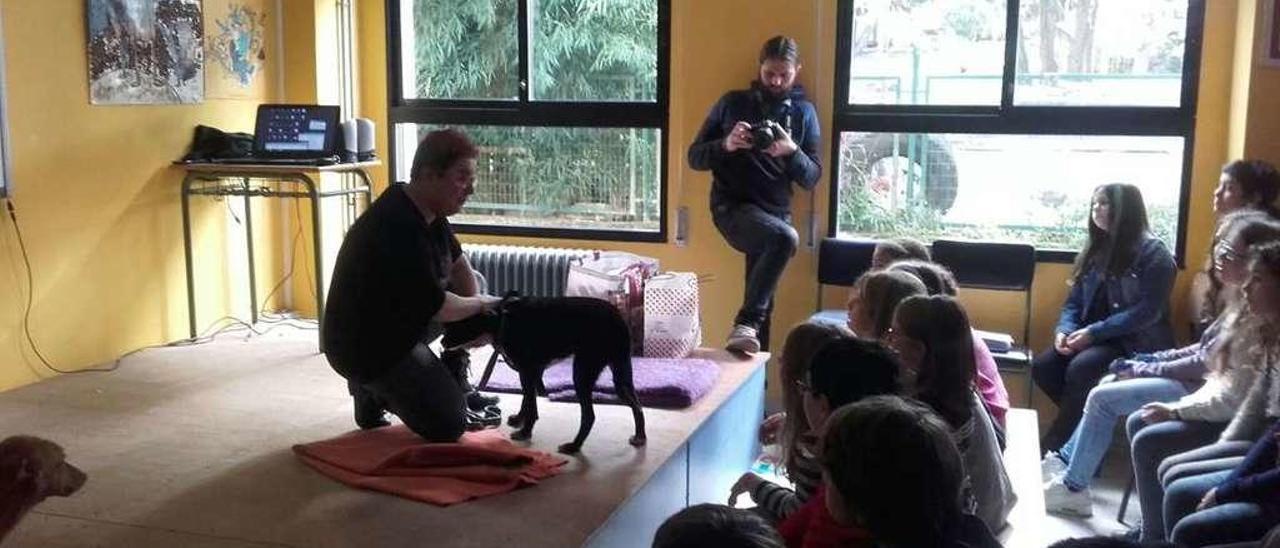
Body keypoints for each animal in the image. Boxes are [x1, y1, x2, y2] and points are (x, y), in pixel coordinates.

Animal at [448, 295, 650, 453]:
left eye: (460, 325)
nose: (442, 342)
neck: (503, 319)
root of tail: (618, 317)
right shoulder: (529, 372)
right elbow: (527, 400)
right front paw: (520, 419)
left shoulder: (528, 371)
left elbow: (531, 405)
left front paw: (525, 432)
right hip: (621, 376)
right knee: (637, 405)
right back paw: (640, 436)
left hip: (582, 373)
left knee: (589, 416)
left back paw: (574, 446)